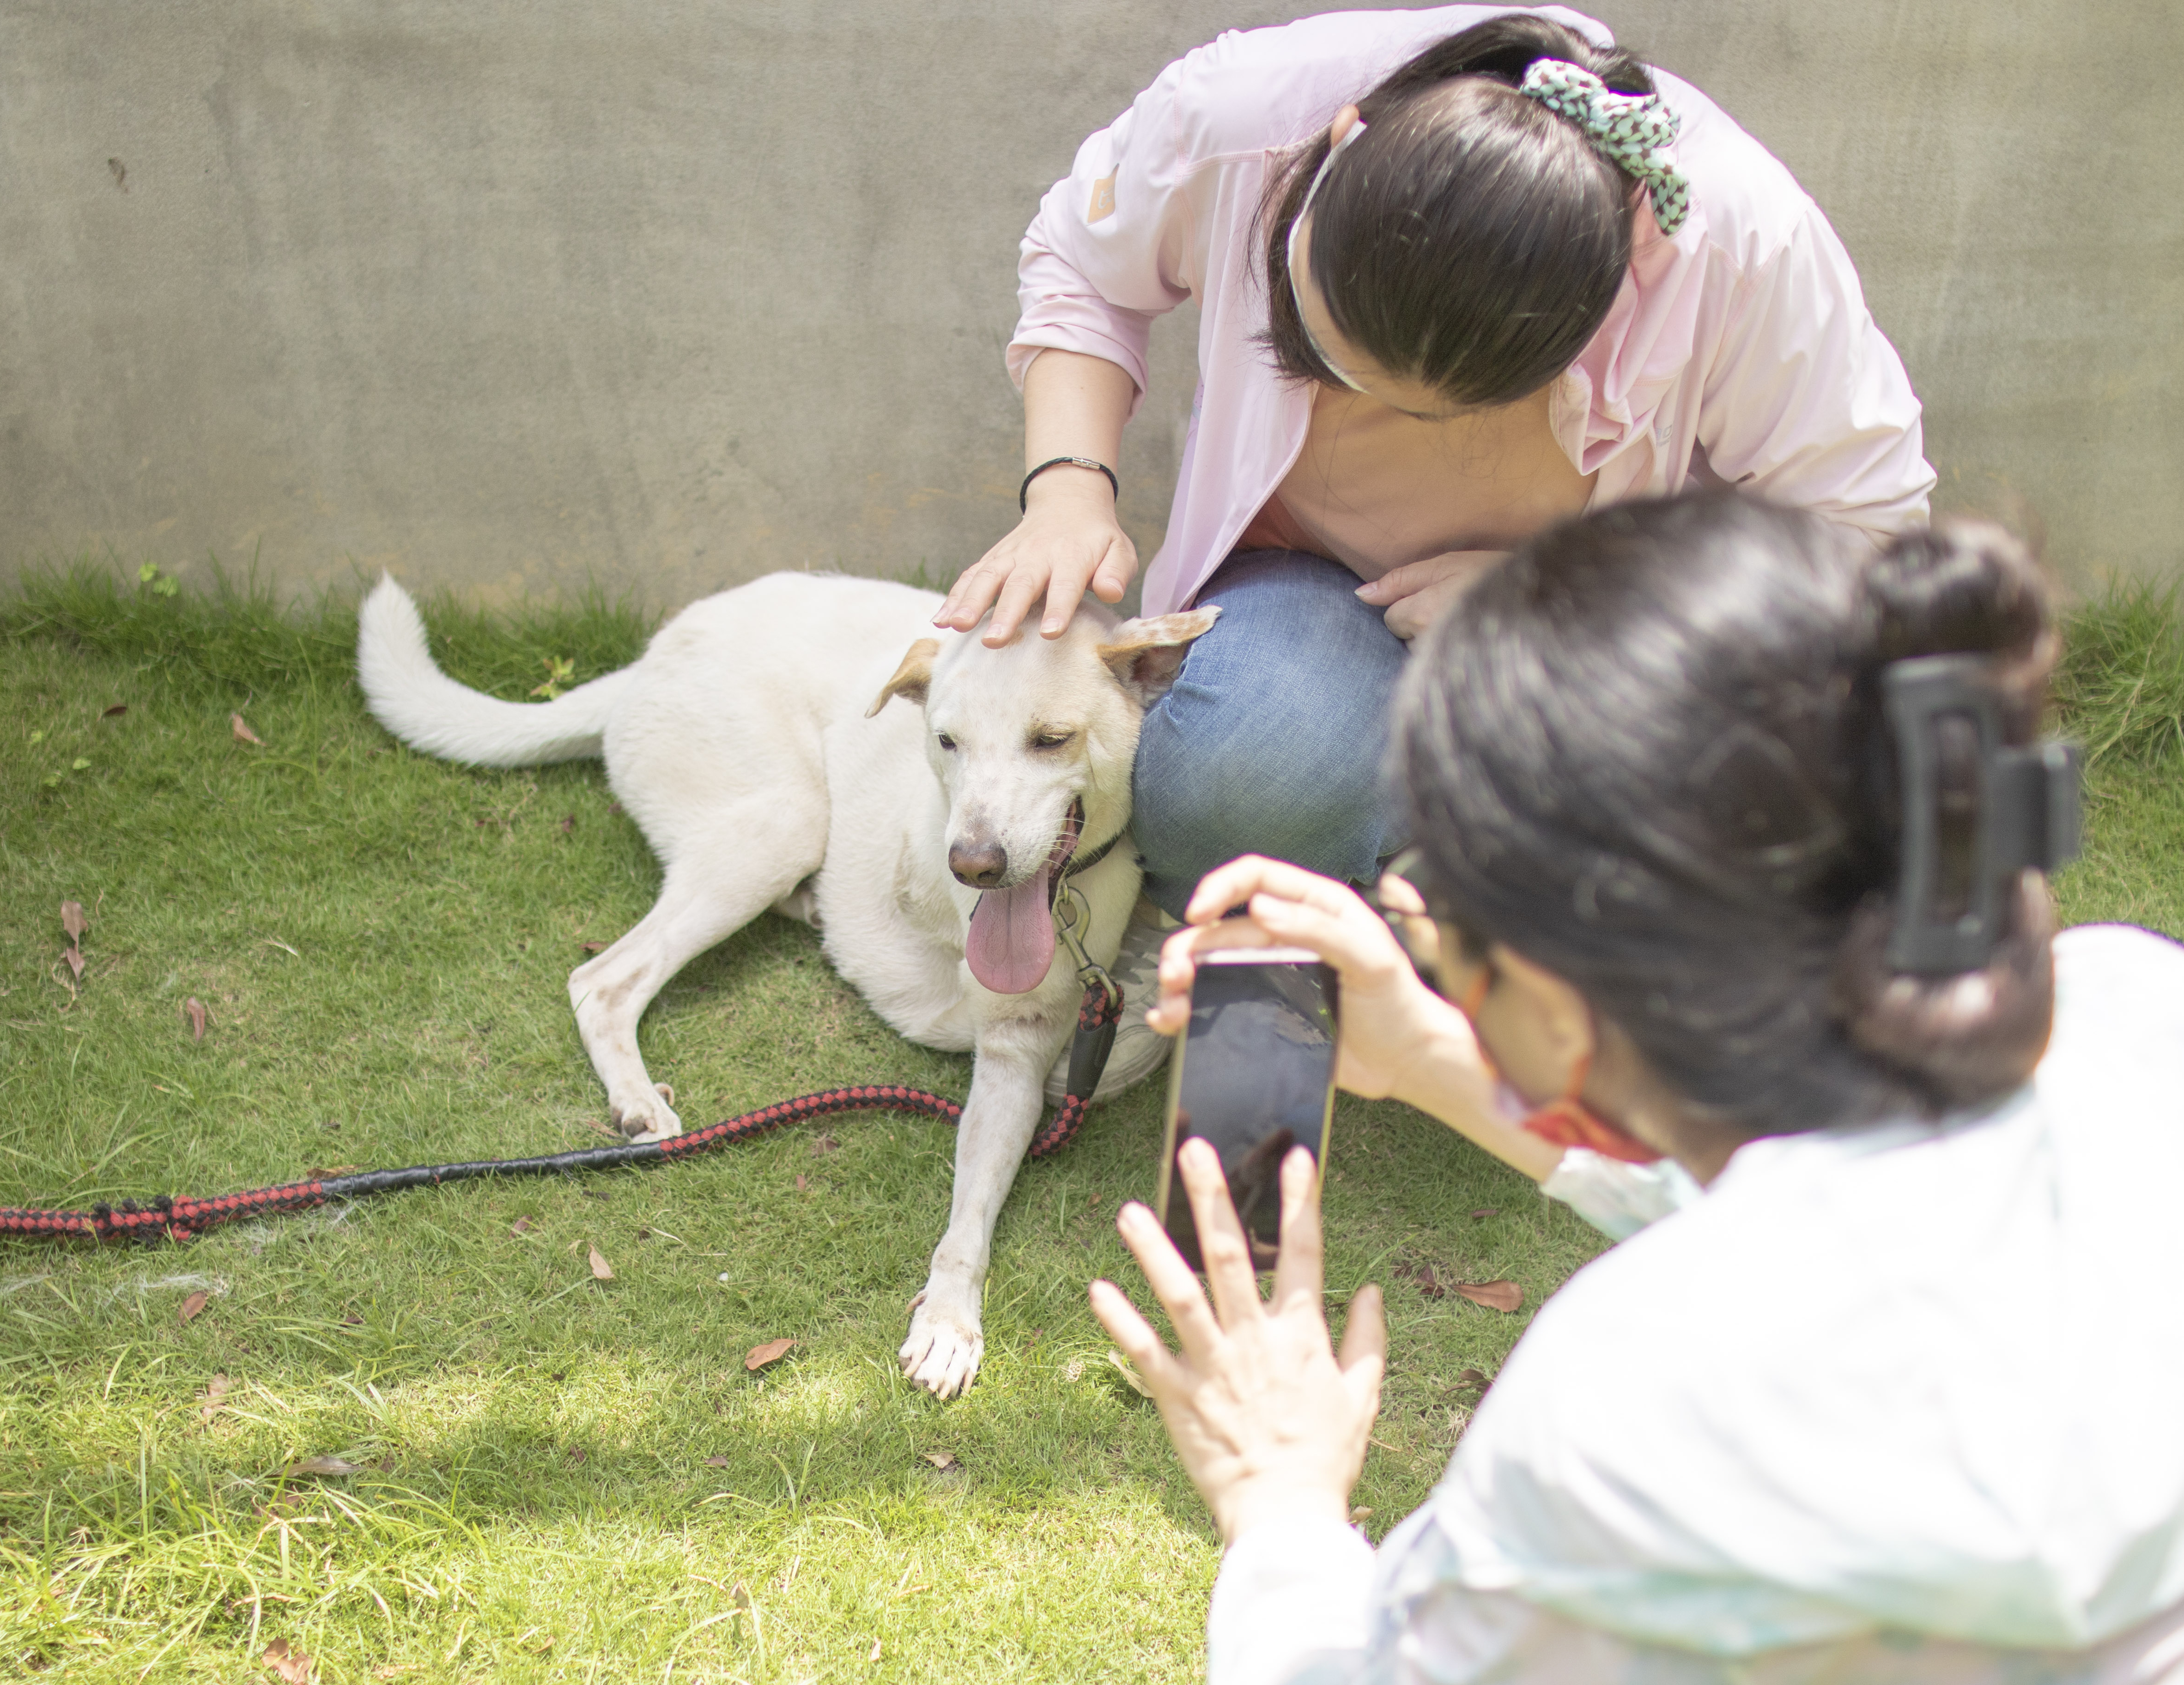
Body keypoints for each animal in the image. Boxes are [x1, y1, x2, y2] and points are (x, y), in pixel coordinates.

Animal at [352, 576, 1223, 1397]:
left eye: (1051, 739)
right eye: (946, 741)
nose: (971, 863)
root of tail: (648, 658)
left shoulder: (1028, 1043)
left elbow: (980, 1203)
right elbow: (965, 1220)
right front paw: (948, 1323)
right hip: (780, 820)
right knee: (600, 979)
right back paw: (638, 1098)